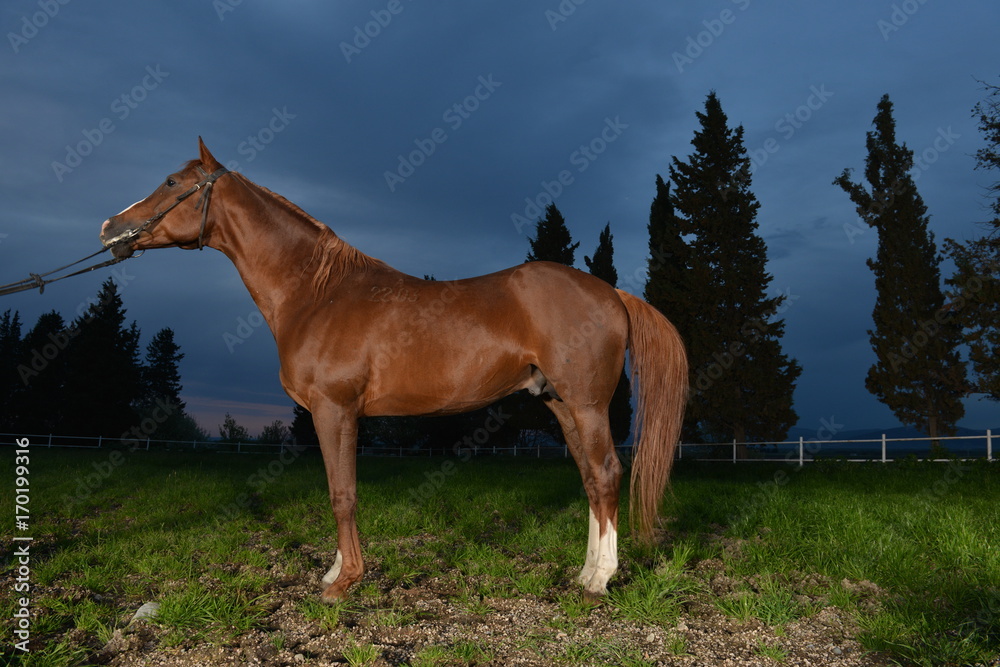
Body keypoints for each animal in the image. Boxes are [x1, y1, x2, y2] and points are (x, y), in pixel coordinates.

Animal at [99, 138, 688, 601]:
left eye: (172, 181)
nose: (110, 226)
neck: (317, 293)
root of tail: (611, 293)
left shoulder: (335, 410)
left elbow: (343, 494)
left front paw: (343, 582)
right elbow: (338, 491)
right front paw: (336, 572)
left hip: (587, 405)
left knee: (607, 474)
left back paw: (601, 580)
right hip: (561, 404)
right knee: (590, 479)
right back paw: (585, 573)